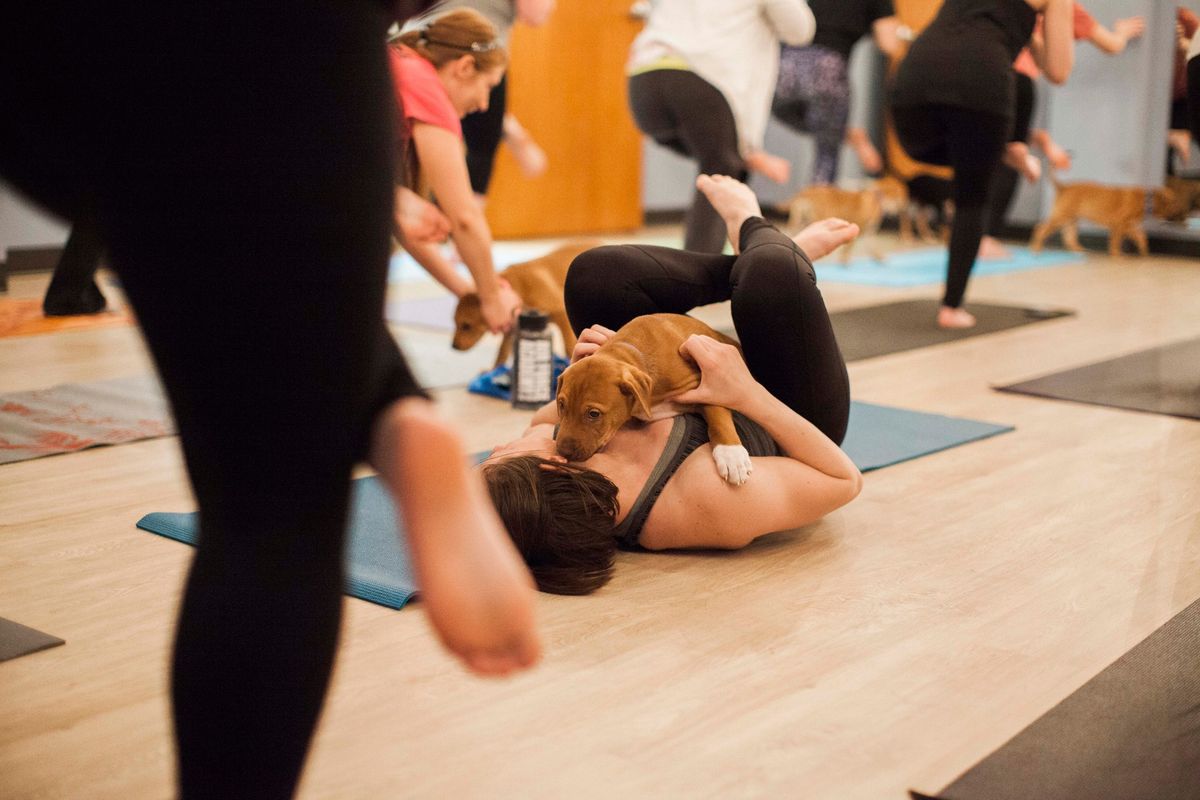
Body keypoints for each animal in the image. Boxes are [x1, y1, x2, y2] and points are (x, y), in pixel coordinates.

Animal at [451, 239, 597, 367]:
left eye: (466, 326)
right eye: (455, 322)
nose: (454, 346)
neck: (519, 289)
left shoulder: (561, 313)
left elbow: (568, 346)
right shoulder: (511, 328)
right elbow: (502, 352)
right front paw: (493, 369)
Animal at [552, 314, 748, 484]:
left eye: (594, 414)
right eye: (561, 405)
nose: (563, 451)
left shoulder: (706, 382)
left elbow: (717, 414)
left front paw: (732, 455)